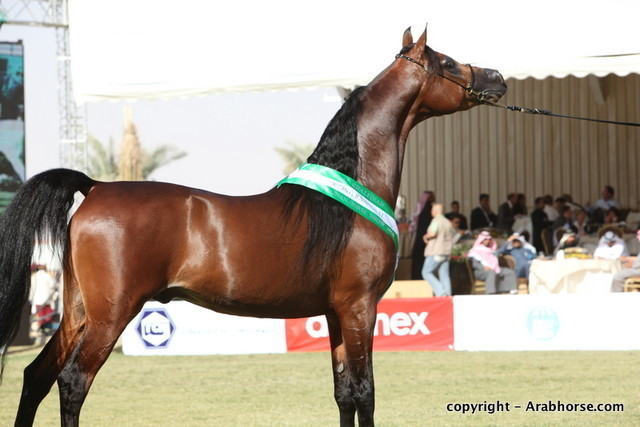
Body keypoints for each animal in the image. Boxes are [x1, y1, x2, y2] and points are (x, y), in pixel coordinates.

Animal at [0, 26, 506, 426]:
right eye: (447, 62)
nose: (497, 78)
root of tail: (97, 186)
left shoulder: (335, 313)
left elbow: (343, 393)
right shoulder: (360, 308)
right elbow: (365, 394)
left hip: (77, 312)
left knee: (37, 375)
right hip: (110, 315)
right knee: (73, 381)